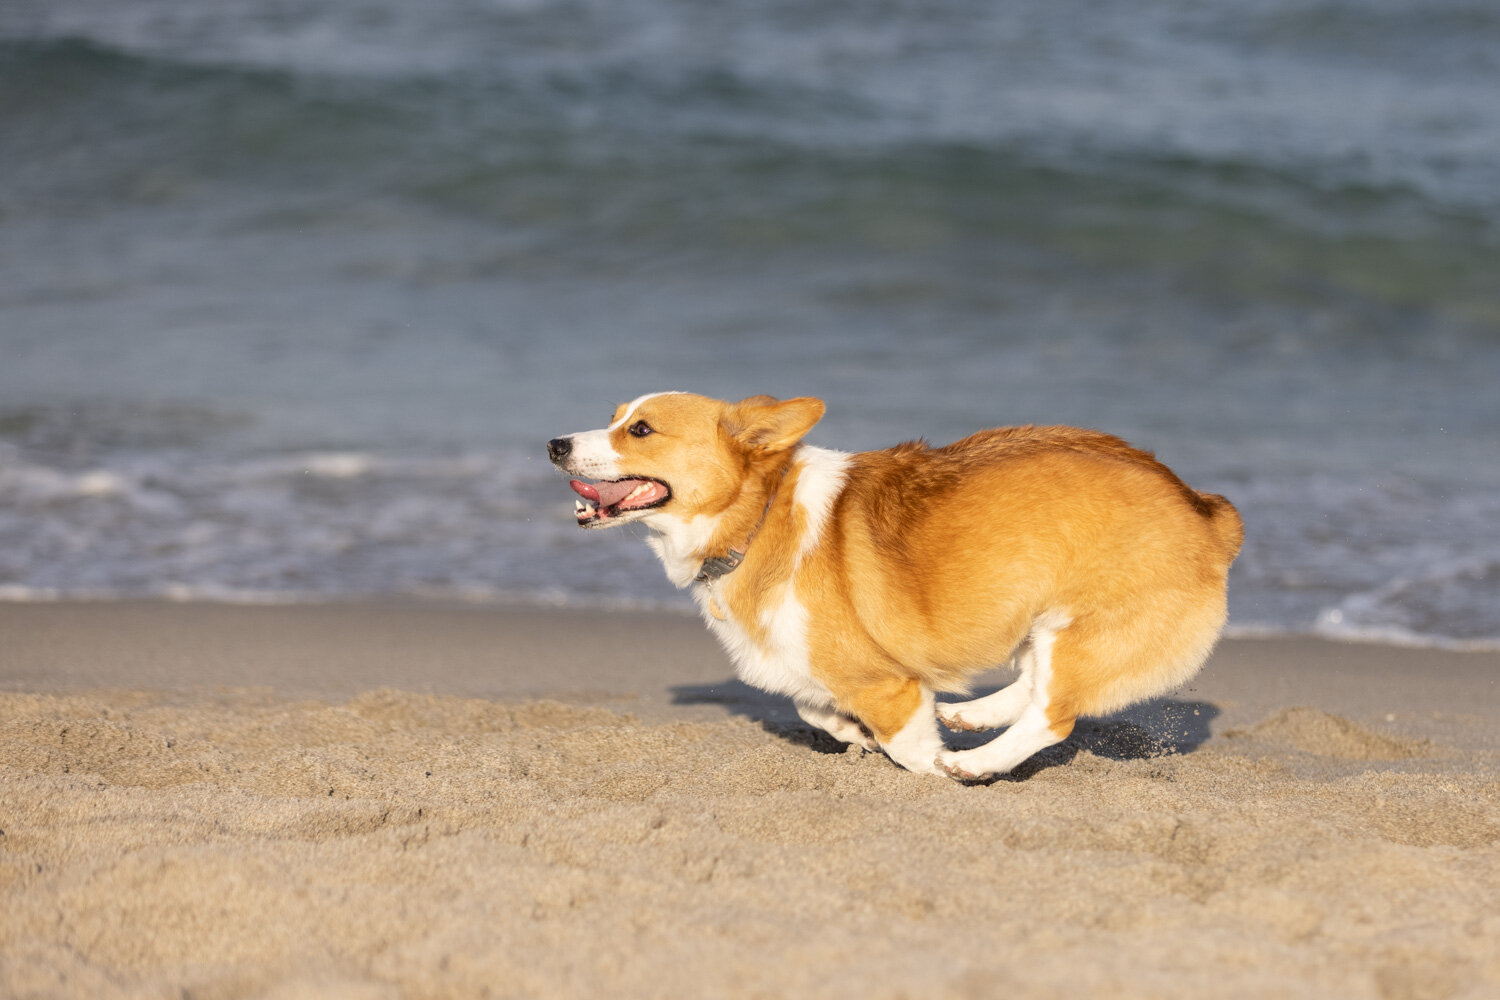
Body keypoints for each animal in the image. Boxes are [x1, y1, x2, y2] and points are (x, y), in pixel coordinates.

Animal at [549, 392, 1242, 779]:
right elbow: (812, 706)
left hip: (1084, 627)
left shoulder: (883, 683)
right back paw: (970, 716)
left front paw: (931, 767)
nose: (554, 443)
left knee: (1055, 713)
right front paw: (851, 733)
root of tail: (1207, 512)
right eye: (613, 418)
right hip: (1039, 621)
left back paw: (972, 761)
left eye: (640, 430)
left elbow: (906, 746)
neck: (760, 513)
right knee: (1037, 682)